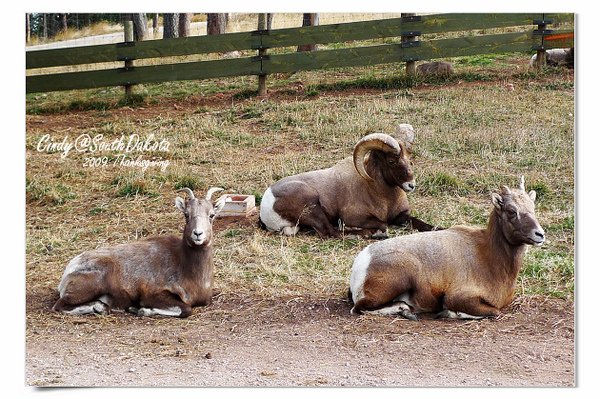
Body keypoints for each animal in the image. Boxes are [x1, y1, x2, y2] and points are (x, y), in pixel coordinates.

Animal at [52, 188, 226, 318]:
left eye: (211, 215)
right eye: (186, 214)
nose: (198, 234)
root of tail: (69, 269)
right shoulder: (153, 295)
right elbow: (186, 310)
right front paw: (140, 310)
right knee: (59, 306)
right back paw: (100, 308)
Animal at [258, 124, 436, 238]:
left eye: (409, 160)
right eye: (391, 161)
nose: (411, 185)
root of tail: (267, 205)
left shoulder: (401, 216)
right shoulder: (355, 217)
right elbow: (383, 224)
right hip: (312, 206)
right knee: (330, 232)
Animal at [350, 177, 548, 320]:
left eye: (532, 208)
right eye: (511, 211)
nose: (540, 235)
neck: (488, 257)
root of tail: (362, 263)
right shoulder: (458, 298)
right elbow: (494, 312)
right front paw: (449, 313)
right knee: (359, 308)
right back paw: (405, 310)